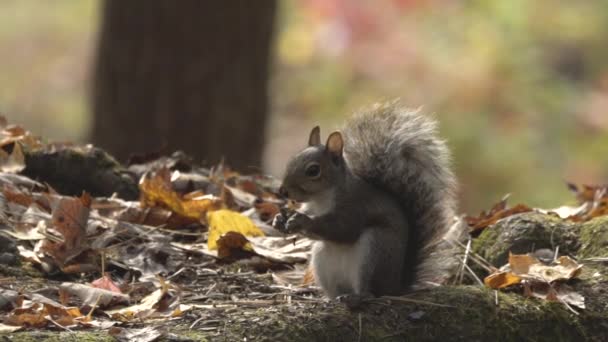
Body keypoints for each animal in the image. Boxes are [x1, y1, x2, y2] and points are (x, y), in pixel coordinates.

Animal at [274, 100, 458, 306]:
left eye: (313, 171)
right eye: (291, 160)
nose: (283, 191)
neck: (321, 199)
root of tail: (395, 287)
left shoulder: (355, 207)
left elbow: (342, 229)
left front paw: (301, 220)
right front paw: (280, 220)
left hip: (375, 250)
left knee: (372, 292)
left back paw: (358, 297)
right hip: (322, 259)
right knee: (337, 290)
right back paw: (334, 299)